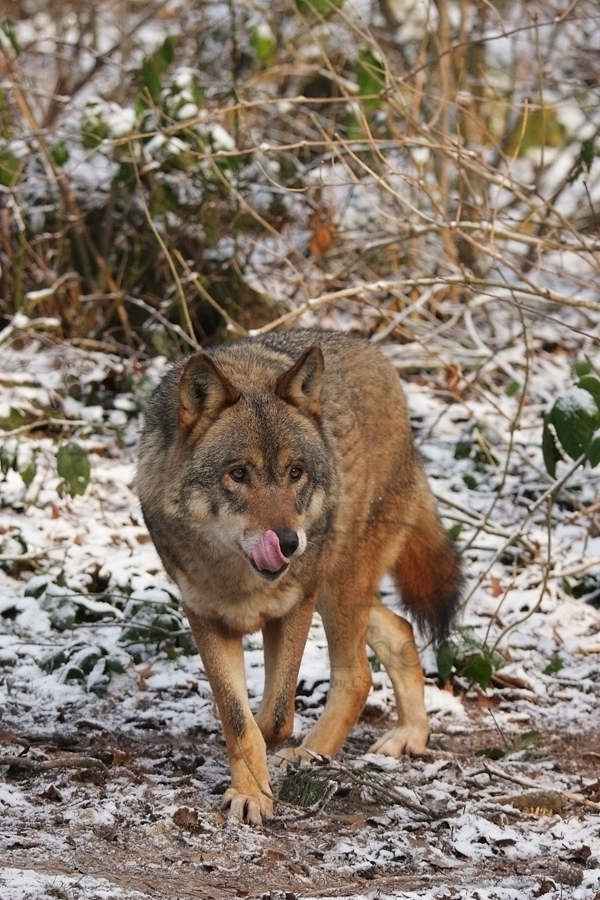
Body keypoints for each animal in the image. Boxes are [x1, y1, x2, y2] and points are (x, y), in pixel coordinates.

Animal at [136, 328, 462, 824]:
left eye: (295, 472)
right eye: (238, 474)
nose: (289, 543)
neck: (240, 580)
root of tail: (377, 357)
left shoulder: (294, 606)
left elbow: (273, 718)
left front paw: (261, 774)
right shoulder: (204, 616)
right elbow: (238, 718)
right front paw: (250, 791)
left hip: (334, 583)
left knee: (357, 675)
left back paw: (310, 755)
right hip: (339, 589)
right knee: (400, 629)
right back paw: (409, 737)